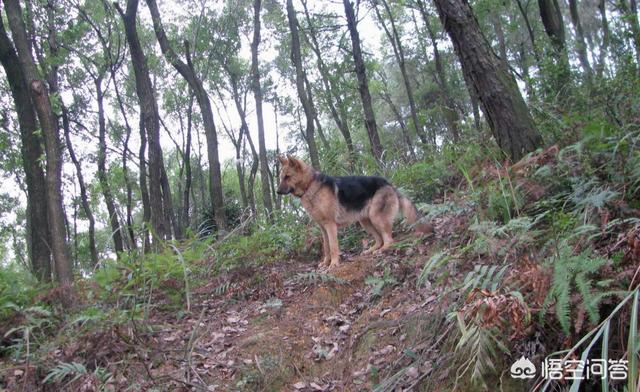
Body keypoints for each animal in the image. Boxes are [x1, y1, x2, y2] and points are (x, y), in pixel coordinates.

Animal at [276, 155, 420, 270]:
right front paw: (325, 263)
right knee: (379, 239)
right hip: (365, 222)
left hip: (376, 218)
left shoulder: (330, 226)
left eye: (288, 177)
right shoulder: (323, 229)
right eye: (281, 178)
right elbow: (326, 248)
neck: (310, 185)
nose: (277, 192)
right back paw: (371, 250)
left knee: (389, 239)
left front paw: (334, 264)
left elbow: (333, 247)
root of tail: (389, 183)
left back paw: (382, 250)